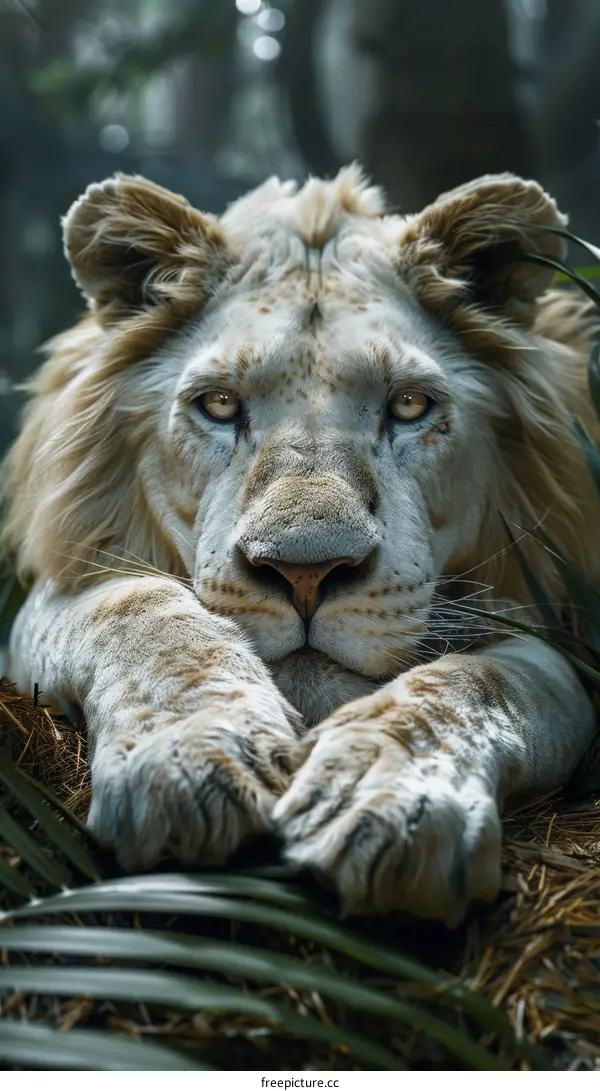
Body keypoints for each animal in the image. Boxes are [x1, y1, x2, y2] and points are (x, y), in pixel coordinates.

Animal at [2, 165, 600, 925]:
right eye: (220, 405)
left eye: (409, 406)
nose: (306, 573)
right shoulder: (59, 590)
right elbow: (139, 610)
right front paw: (189, 758)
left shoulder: (558, 639)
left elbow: (480, 680)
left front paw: (388, 797)